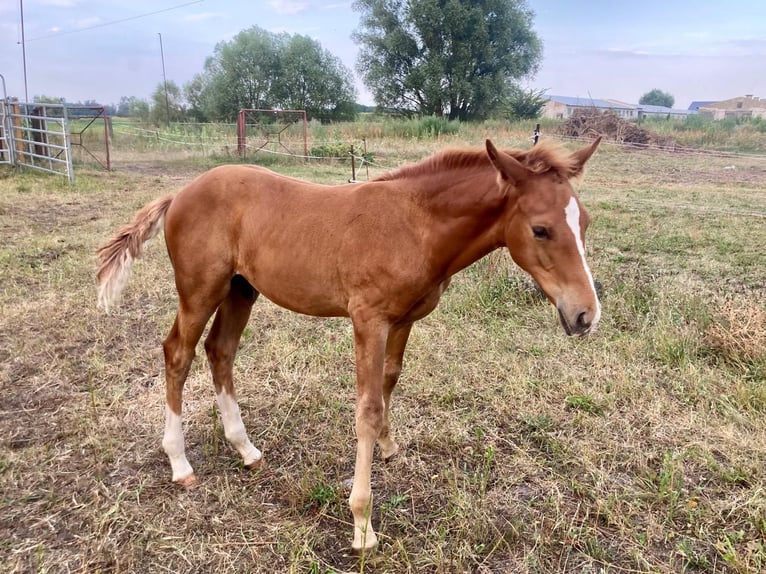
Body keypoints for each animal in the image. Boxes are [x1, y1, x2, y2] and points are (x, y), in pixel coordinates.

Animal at [96, 136, 604, 552]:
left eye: (585, 223)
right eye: (540, 229)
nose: (586, 315)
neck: (415, 224)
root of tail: (180, 193)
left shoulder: (402, 321)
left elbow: (389, 381)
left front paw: (388, 447)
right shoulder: (368, 321)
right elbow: (367, 407)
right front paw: (362, 524)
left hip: (241, 289)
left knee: (220, 351)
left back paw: (246, 449)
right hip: (200, 290)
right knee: (178, 354)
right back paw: (180, 463)